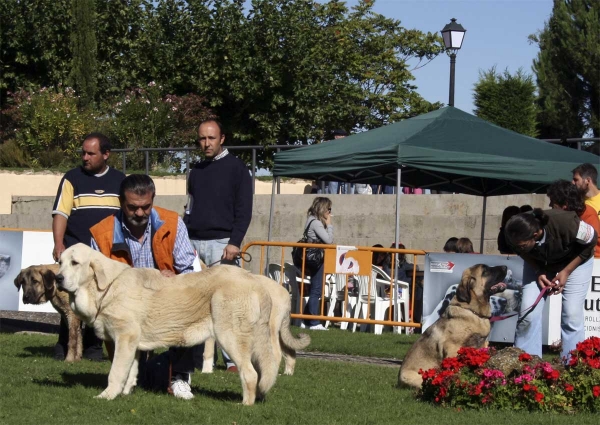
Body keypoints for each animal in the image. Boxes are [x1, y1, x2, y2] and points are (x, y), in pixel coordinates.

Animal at [56, 242, 310, 404]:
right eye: (60, 262)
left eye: (75, 263)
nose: (58, 278)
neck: (106, 286)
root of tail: (257, 283)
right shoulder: (133, 344)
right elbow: (130, 372)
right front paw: (125, 394)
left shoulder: (124, 339)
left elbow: (116, 373)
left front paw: (106, 396)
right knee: (266, 370)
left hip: (230, 338)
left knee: (251, 374)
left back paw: (245, 405)